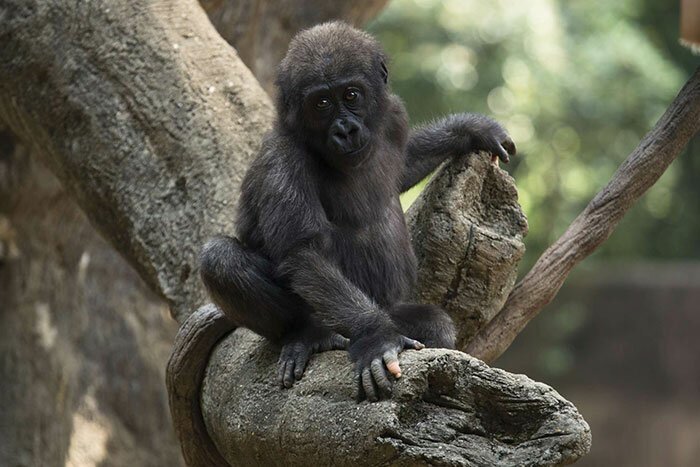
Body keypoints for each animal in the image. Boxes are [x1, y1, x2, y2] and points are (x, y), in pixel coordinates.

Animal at [200, 22, 516, 402]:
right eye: (321, 103)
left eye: (351, 95)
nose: (346, 129)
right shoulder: (282, 159)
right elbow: (304, 253)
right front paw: (377, 339)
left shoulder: (394, 114)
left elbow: (406, 163)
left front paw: (471, 129)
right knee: (221, 259)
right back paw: (308, 334)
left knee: (434, 326)